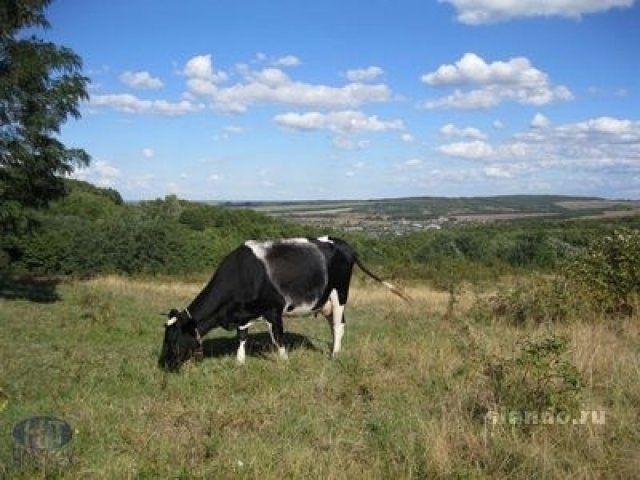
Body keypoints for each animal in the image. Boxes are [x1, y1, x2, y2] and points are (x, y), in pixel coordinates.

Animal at [160, 236, 410, 372]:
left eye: (173, 338)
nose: (164, 364)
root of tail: (342, 243)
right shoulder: (243, 313)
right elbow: (242, 337)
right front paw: (240, 362)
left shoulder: (274, 309)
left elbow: (278, 337)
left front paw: (285, 362)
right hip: (326, 301)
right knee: (335, 326)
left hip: (339, 295)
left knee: (339, 326)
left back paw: (335, 355)